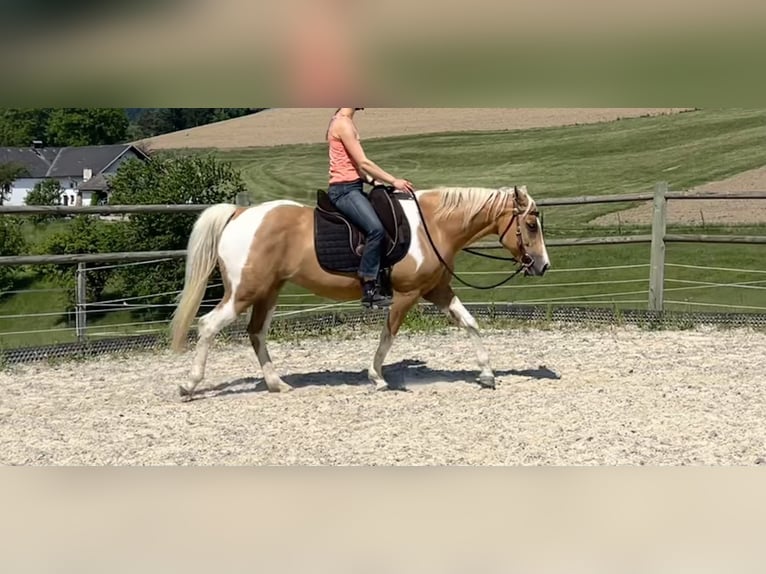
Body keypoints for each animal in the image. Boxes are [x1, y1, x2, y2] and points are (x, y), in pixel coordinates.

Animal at [169, 184, 550, 398]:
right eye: (531, 224)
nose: (543, 266)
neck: (433, 226)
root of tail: (240, 213)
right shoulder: (406, 294)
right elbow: (388, 335)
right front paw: (376, 377)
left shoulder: (436, 289)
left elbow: (470, 323)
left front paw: (487, 374)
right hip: (245, 292)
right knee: (208, 326)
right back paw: (189, 385)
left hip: (268, 291)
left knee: (255, 333)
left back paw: (277, 384)